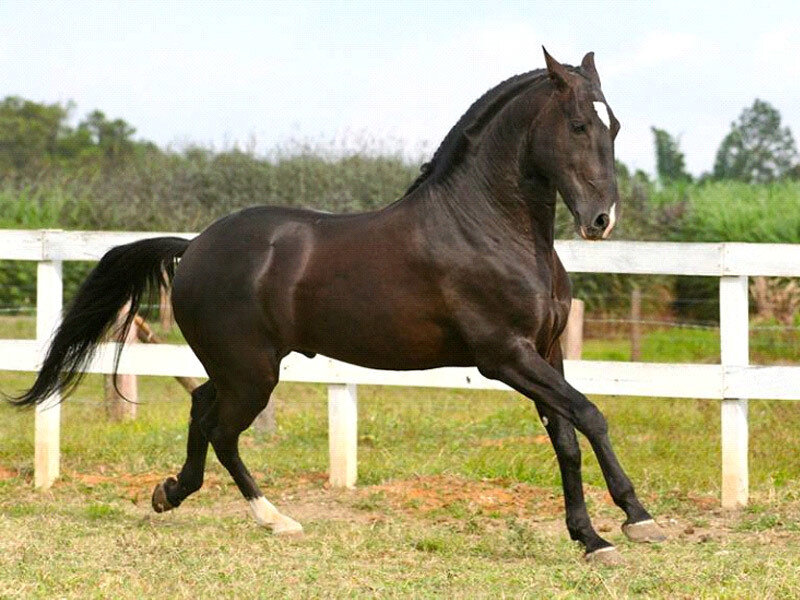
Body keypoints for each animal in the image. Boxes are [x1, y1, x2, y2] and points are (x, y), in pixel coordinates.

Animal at [11, 48, 664, 563]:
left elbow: (567, 438)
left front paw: (592, 539)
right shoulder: (504, 356)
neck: (486, 227)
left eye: (615, 125)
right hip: (253, 373)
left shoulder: (546, 353)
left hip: (240, 368)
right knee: (222, 431)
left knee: (201, 410)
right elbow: (591, 416)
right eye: (577, 125)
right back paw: (273, 518)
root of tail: (193, 246)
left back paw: (173, 493)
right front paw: (639, 519)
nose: (601, 220)